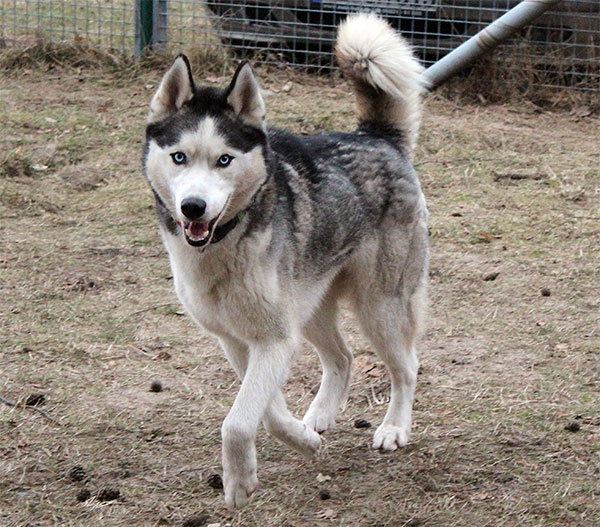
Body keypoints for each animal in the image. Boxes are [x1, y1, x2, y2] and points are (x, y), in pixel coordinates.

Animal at [144, 13, 428, 512]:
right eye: (179, 157)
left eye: (224, 160)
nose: (193, 207)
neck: (225, 245)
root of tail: (375, 137)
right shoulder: (241, 341)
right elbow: (267, 412)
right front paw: (302, 440)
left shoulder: (275, 339)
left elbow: (238, 421)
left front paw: (238, 482)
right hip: (311, 306)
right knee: (343, 357)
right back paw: (318, 417)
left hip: (380, 307)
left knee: (406, 368)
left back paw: (394, 428)